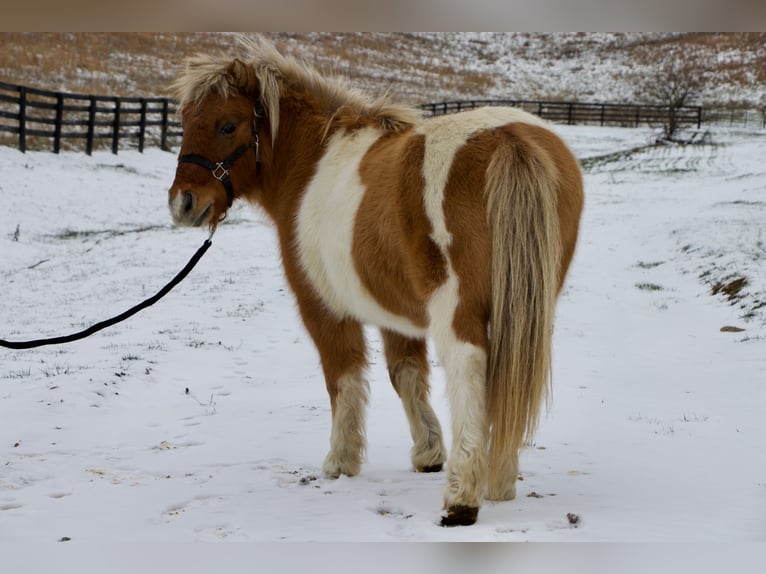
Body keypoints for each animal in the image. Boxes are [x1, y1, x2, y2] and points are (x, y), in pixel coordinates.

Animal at [167, 36, 583, 527]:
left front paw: (340, 462)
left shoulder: (323, 309)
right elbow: (406, 375)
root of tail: (509, 139)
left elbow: (343, 379)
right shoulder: (396, 316)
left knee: (469, 369)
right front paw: (428, 452)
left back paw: (463, 496)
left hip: (458, 308)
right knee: (508, 379)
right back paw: (499, 482)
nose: (183, 203)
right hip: (525, 306)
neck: (312, 166)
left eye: (227, 125)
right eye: (185, 122)